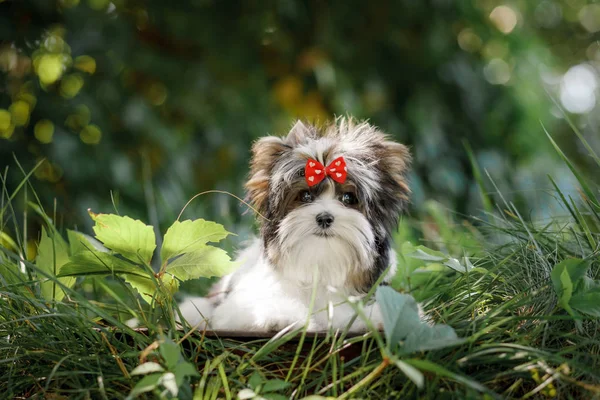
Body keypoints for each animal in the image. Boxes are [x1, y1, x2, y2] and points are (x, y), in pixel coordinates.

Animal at [179, 117, 412, 332]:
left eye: (348, 198)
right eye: (305, 196)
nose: (324, 217)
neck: (319, 265)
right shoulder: (236, 308)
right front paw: (280, 317)